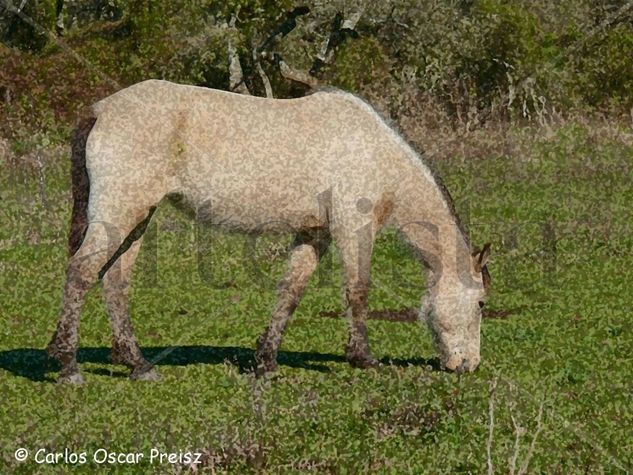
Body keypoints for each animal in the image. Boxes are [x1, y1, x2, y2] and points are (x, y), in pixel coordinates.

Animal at [47, 81, 492, 384]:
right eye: (482, 303)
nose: (468, 365)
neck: (375, 154)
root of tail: (101, 109)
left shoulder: (314, 234)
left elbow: (290, 293)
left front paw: (265, 360)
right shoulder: (353, 230)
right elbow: (358, 291)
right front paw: (363, 358)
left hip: (136, 219)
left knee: (115, 283)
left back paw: (136, 364)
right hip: (120, 212)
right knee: (81, 273)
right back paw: (69, 366)